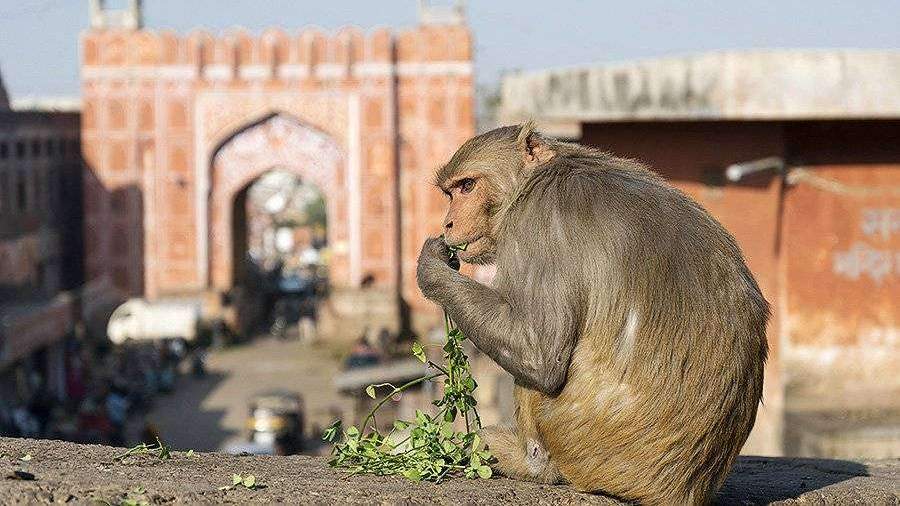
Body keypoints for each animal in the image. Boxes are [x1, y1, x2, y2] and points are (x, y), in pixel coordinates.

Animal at [414, 120, 768, 504]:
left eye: (467, 186)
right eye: (451, 193)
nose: (448, 224)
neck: (537, 177)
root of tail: (681, 489)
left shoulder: (540, 221)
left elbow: (537, 355)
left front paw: (432, 269)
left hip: (572, 438)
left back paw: (529, 464)